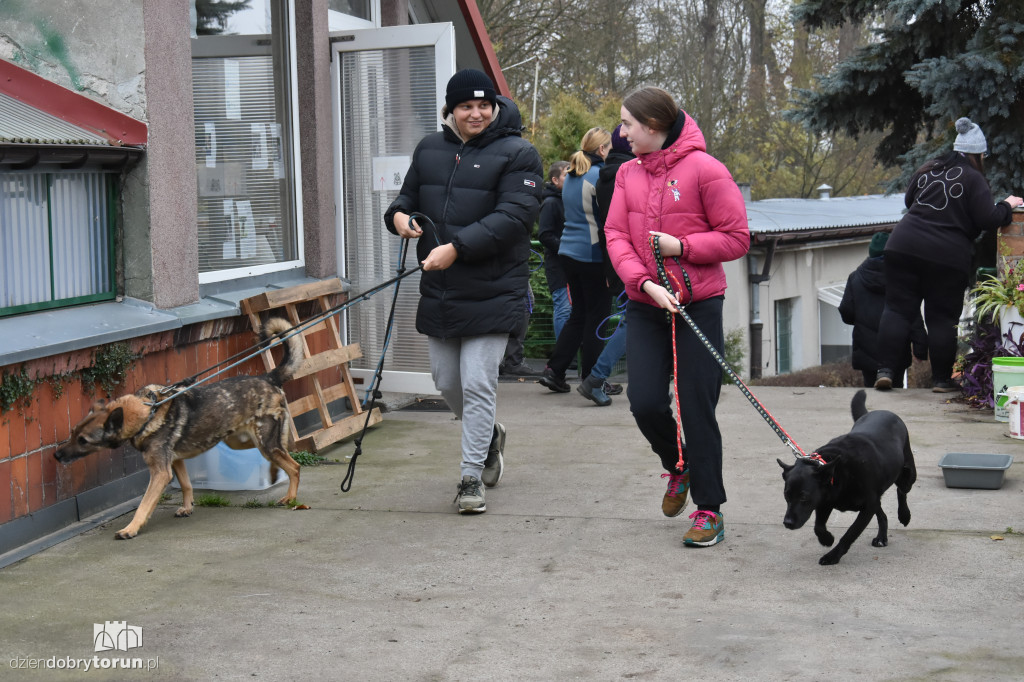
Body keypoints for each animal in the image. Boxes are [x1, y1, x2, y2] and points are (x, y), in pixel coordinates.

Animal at [56, 317, 303, 536]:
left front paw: (131, 529)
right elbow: (186, 484)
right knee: (282, 454)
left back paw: (290, 497)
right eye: (73, 433)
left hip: (264, 443)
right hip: (239, 441)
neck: (147, 412)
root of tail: (269, 377)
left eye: (83, 440)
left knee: (294, 466)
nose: (56, 455)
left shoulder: (160, 473)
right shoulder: (175, 462)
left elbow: (144, 505)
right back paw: (273, 472)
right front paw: (187, 507)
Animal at [778, 387, 917, 561]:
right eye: (786, 495)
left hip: (907, 476)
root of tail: (880, 412)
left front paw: (832, 557)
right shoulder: (825, 500)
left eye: (803, 497)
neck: (837, 470)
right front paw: (827, 539)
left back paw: (904, 515)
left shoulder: (868, 506)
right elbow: (818, 526)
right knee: (883, 514)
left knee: (902, 490)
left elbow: (850, 534)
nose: (787, 523)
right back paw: (881, 537)